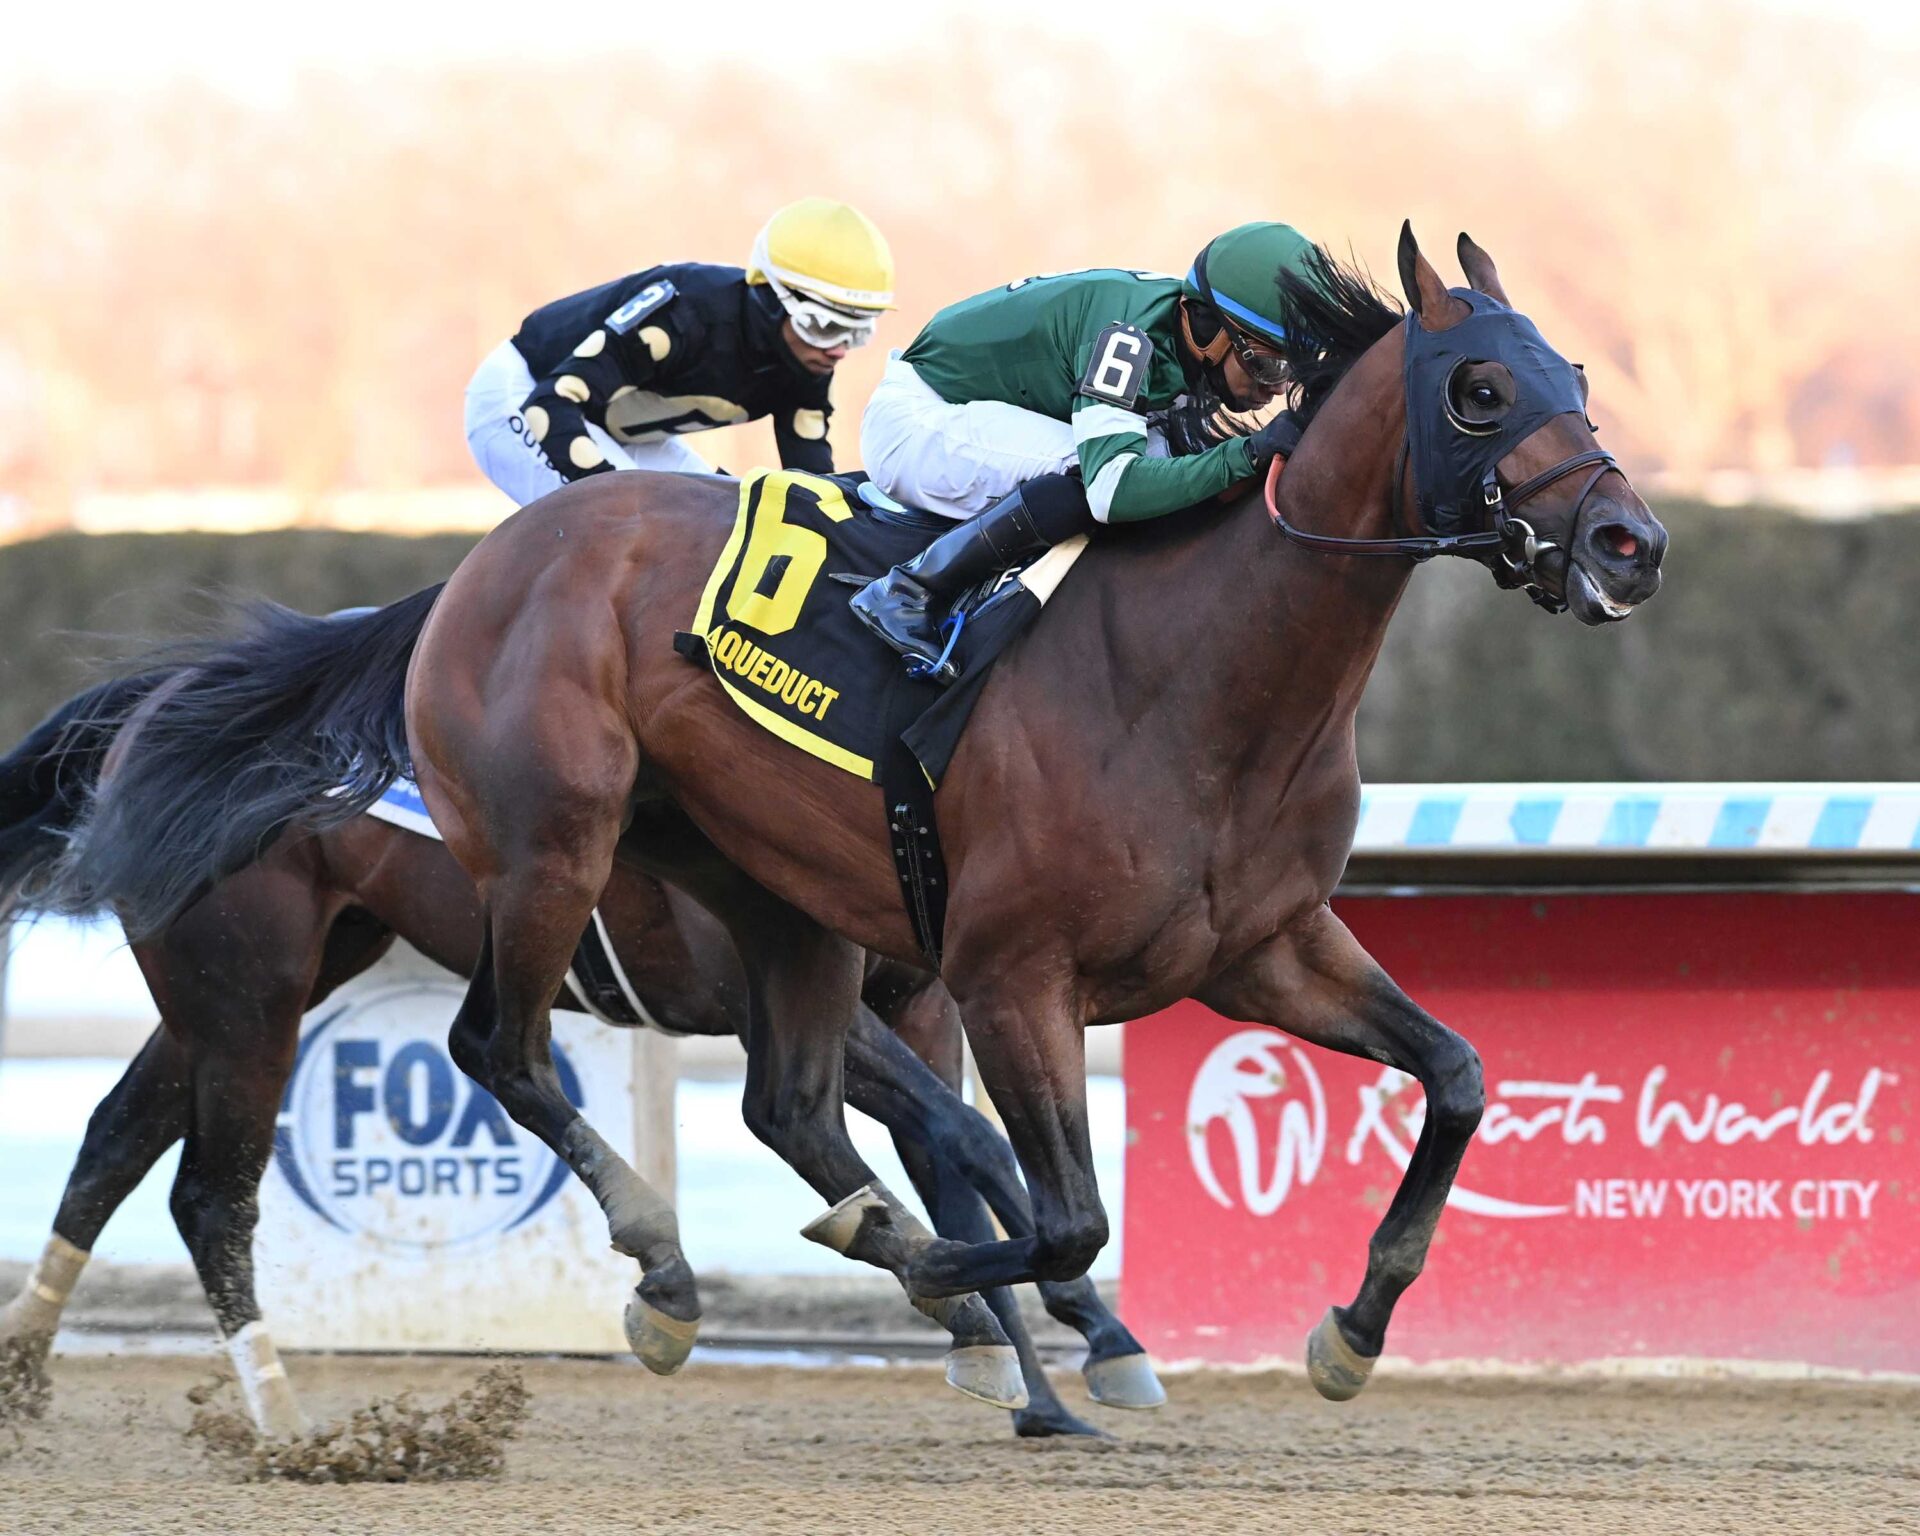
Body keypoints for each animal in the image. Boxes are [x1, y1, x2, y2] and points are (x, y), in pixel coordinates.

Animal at [0, 679, 1160, 1439]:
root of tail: (152, 702)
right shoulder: (791, 1004)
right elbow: (965, 1139)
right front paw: (1072, 1343)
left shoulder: (920, 1002)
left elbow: (957, 1157)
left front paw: (1045, 1376)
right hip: (251, 991)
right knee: (208, 1193)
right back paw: (283, 1417)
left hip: (274, 975)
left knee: (115, 1138)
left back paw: (24, 1369)